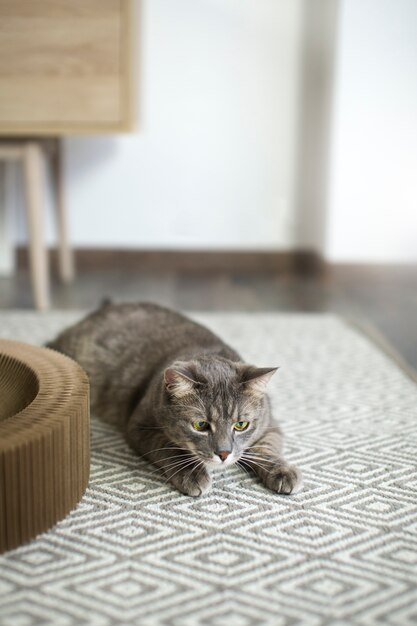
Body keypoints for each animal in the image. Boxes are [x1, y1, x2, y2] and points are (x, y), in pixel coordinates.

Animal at [48, 302, 302, 498]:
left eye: (241, 425)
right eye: (201, 425)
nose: (223, 454)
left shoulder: (271, 425)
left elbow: (267, 449)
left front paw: (282, 471)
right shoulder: (139, 426)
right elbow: (170, 447)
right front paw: (192, 474)